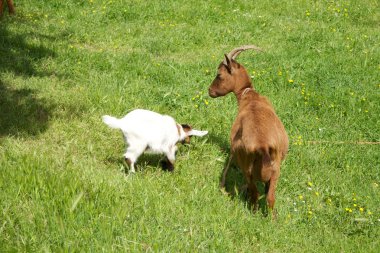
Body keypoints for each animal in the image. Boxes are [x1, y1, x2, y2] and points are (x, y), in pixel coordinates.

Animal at [208, 45, 288, 217]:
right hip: (275, 169)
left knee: (255, 194)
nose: (209, 90)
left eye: (219, 74)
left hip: (248, 170)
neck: (250, 97)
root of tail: (262, 147)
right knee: (269, 197)